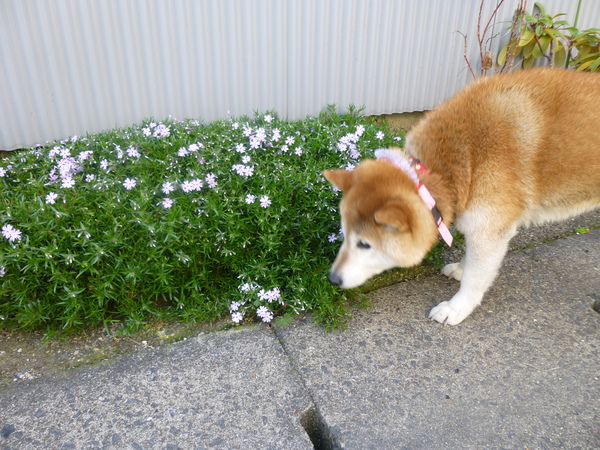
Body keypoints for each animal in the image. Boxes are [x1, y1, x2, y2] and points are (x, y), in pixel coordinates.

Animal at [326, 67, 600, 324]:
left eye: (365, 244)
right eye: (344, 234)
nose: (332, 279)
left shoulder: (490, 231)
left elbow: (475, 279)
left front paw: (456, 307)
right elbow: (472, 261)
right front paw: (462, 268)